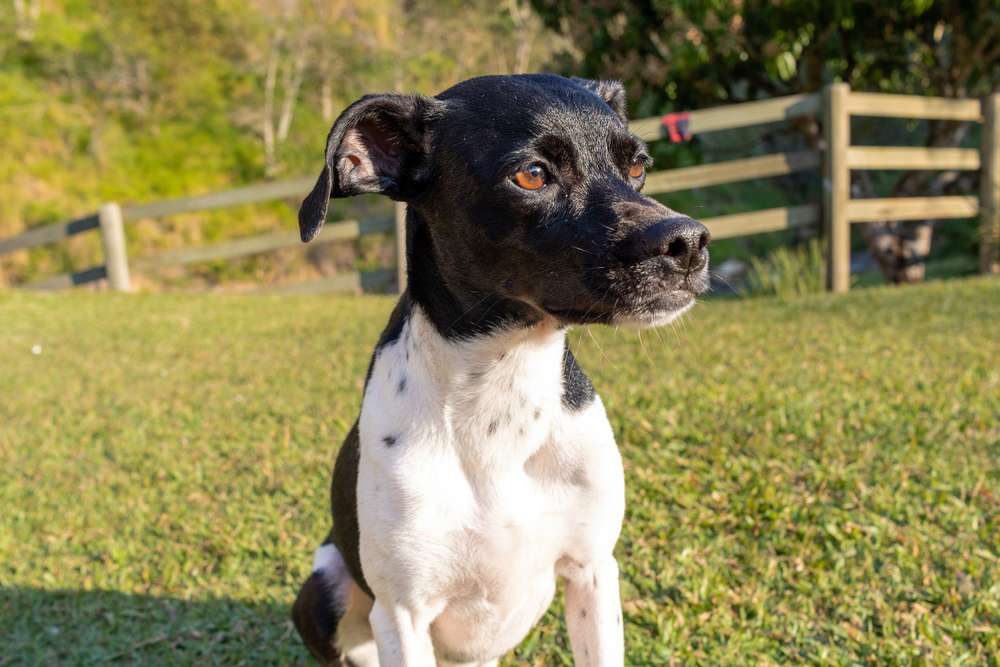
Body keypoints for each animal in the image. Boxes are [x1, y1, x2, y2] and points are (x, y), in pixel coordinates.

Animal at [292, 75, 712, 664]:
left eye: (637, 166)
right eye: (531, 174)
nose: (688, 242)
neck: (501, 390)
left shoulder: (593, 572)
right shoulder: (401, 614)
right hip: (323, 590)